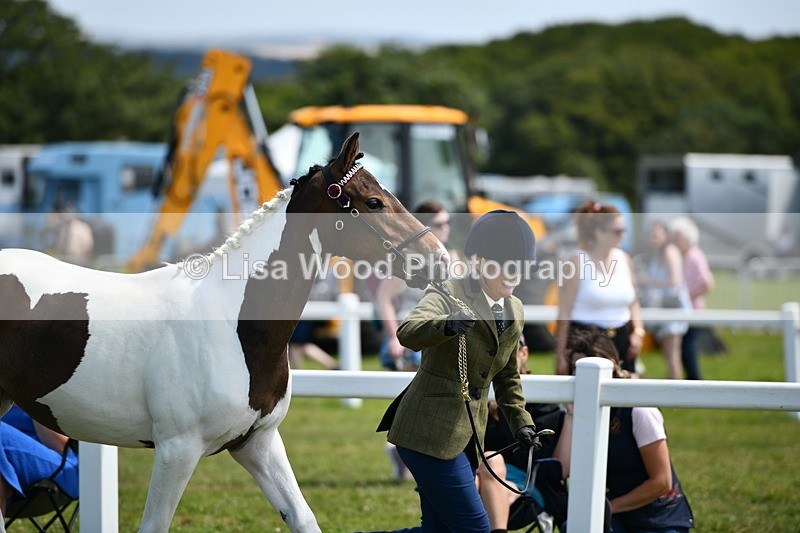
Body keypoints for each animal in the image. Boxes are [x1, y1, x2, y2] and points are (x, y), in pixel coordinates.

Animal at [0, 132, 449, 532]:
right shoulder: (176, 451)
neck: (233, 324)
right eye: (373, 201)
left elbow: (303, 518)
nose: (440, 259)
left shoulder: (259, 444)